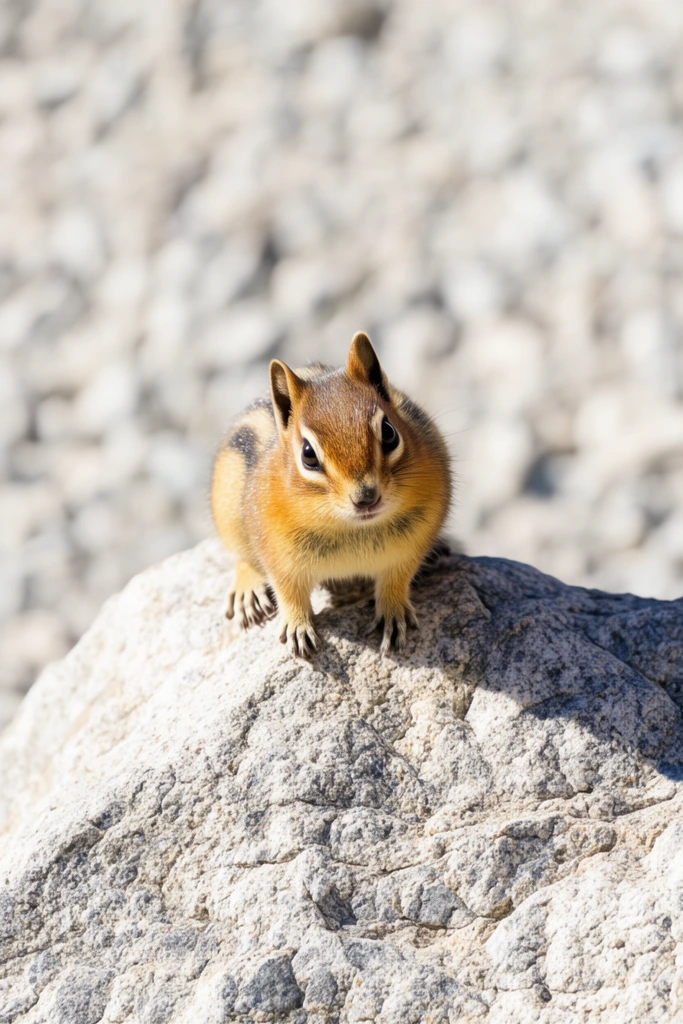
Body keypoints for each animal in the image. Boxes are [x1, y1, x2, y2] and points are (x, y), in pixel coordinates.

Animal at [211, 332, 452, 658]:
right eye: (308, 454)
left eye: (389, 432)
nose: (366, 496)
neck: (353, 529)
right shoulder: (277, 552)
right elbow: (288, 590)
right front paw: (298, 625)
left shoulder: (414, 542)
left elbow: (397, 578)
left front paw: (393, 611)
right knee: (242, 556)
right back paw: (248, 592)